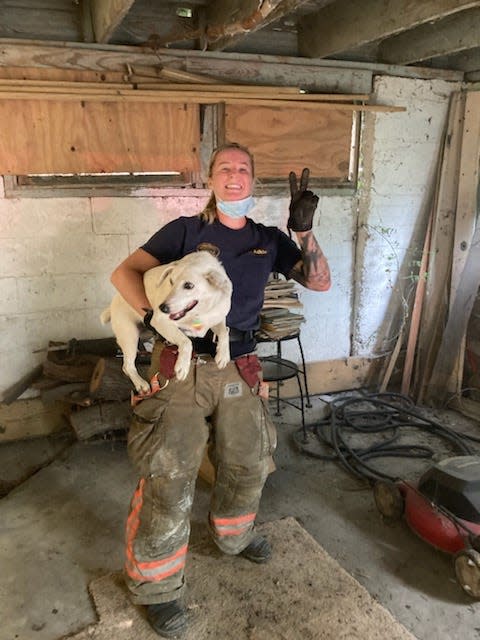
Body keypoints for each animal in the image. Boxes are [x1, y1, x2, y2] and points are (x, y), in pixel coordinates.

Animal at [102, 251, 233, 392]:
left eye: (189, 285)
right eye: (171, 281)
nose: (162, 308)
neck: (199, 313)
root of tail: (113, 303)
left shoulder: (217, 318)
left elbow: (225, 332)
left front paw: (223, 355)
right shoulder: (161, 322)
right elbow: (186, 341)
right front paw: (182, 365)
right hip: (130, 336)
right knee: (128, 365)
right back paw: (140, 384)